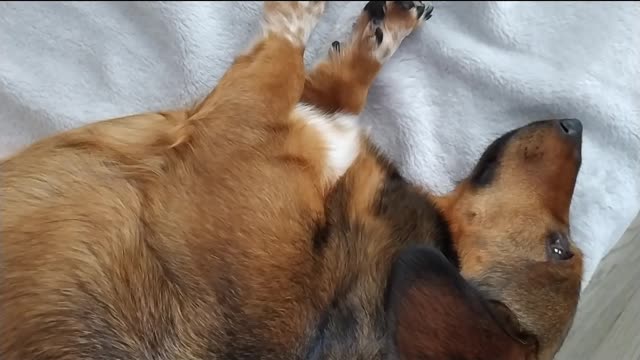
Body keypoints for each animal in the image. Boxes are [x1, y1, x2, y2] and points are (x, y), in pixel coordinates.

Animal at [0, 1, 584, 358]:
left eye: (561, 248)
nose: (577, 124)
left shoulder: (238, 124)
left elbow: (285, 49)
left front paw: (305, 14)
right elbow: (341, 90)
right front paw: (379, 35)